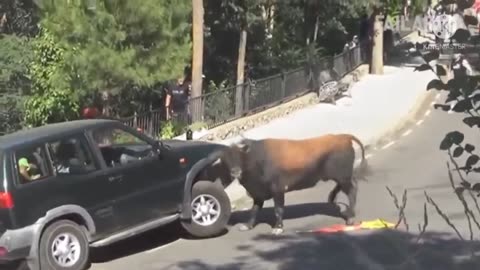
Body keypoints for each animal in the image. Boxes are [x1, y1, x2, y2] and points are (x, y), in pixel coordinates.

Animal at [221, 134, 368, 235]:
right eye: (226, 159)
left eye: (240, 156)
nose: (235, 171)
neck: (257, 159)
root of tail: (343, 136)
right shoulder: (258, 194)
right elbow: (254, 210)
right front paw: (248, 225)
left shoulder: (277, 190)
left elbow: (278, 210)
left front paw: (278, 228)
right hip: (340, 177)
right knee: (351, 186)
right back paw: (336, 201)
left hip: (342, 177)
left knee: (351, 191)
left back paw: (350, 218)